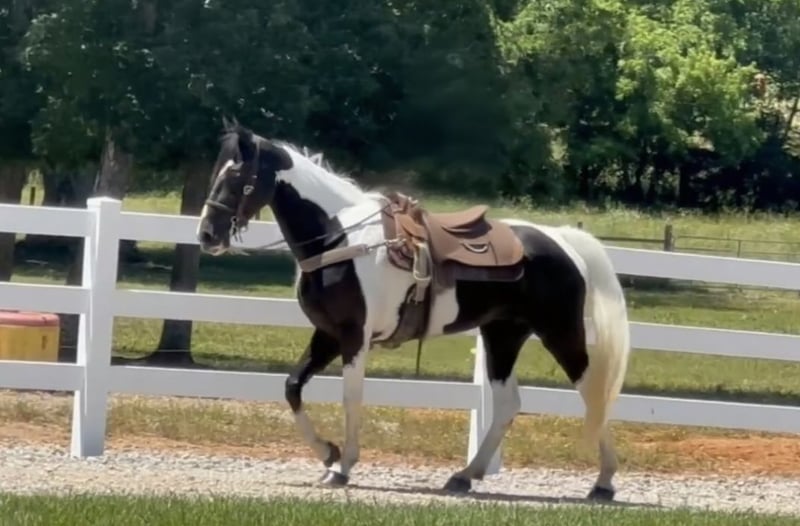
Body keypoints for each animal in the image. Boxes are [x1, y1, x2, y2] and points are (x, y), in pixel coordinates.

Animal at [196, 119, 631, 500]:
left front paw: (343, 466)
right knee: (509, 404)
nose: (207, 235)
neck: (341, 239)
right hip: (503, 336)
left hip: (560, 331)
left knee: (593, 393)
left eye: (238, 176)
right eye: (216, 171)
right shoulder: (327, 334)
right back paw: (464, 476)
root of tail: (561, 239)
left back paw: (605, 482)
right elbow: (292, 387)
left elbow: (350, 396)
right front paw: (328, 454)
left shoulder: (354, 335)